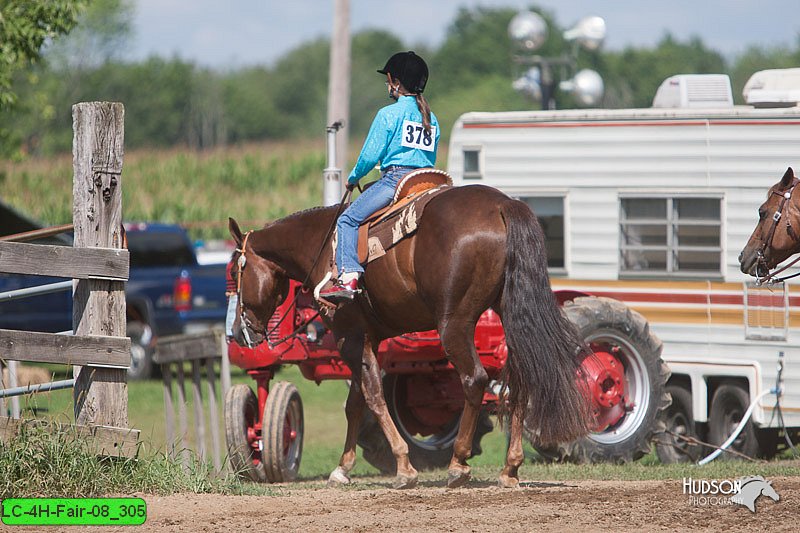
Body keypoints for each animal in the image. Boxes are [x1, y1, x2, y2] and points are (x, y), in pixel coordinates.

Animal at [228, 184, 592, 490]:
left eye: (235, 271)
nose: (239, 334)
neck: (321, 247)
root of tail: (503, 205)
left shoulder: (350, 336)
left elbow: (373, 396)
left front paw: (403, 467)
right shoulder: (368, 339)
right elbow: (356, 401)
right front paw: (342, 468)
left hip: (454, 324)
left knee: (474, 379)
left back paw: (458, 463)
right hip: (511, 316)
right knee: (520, 380)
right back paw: (510, 467)